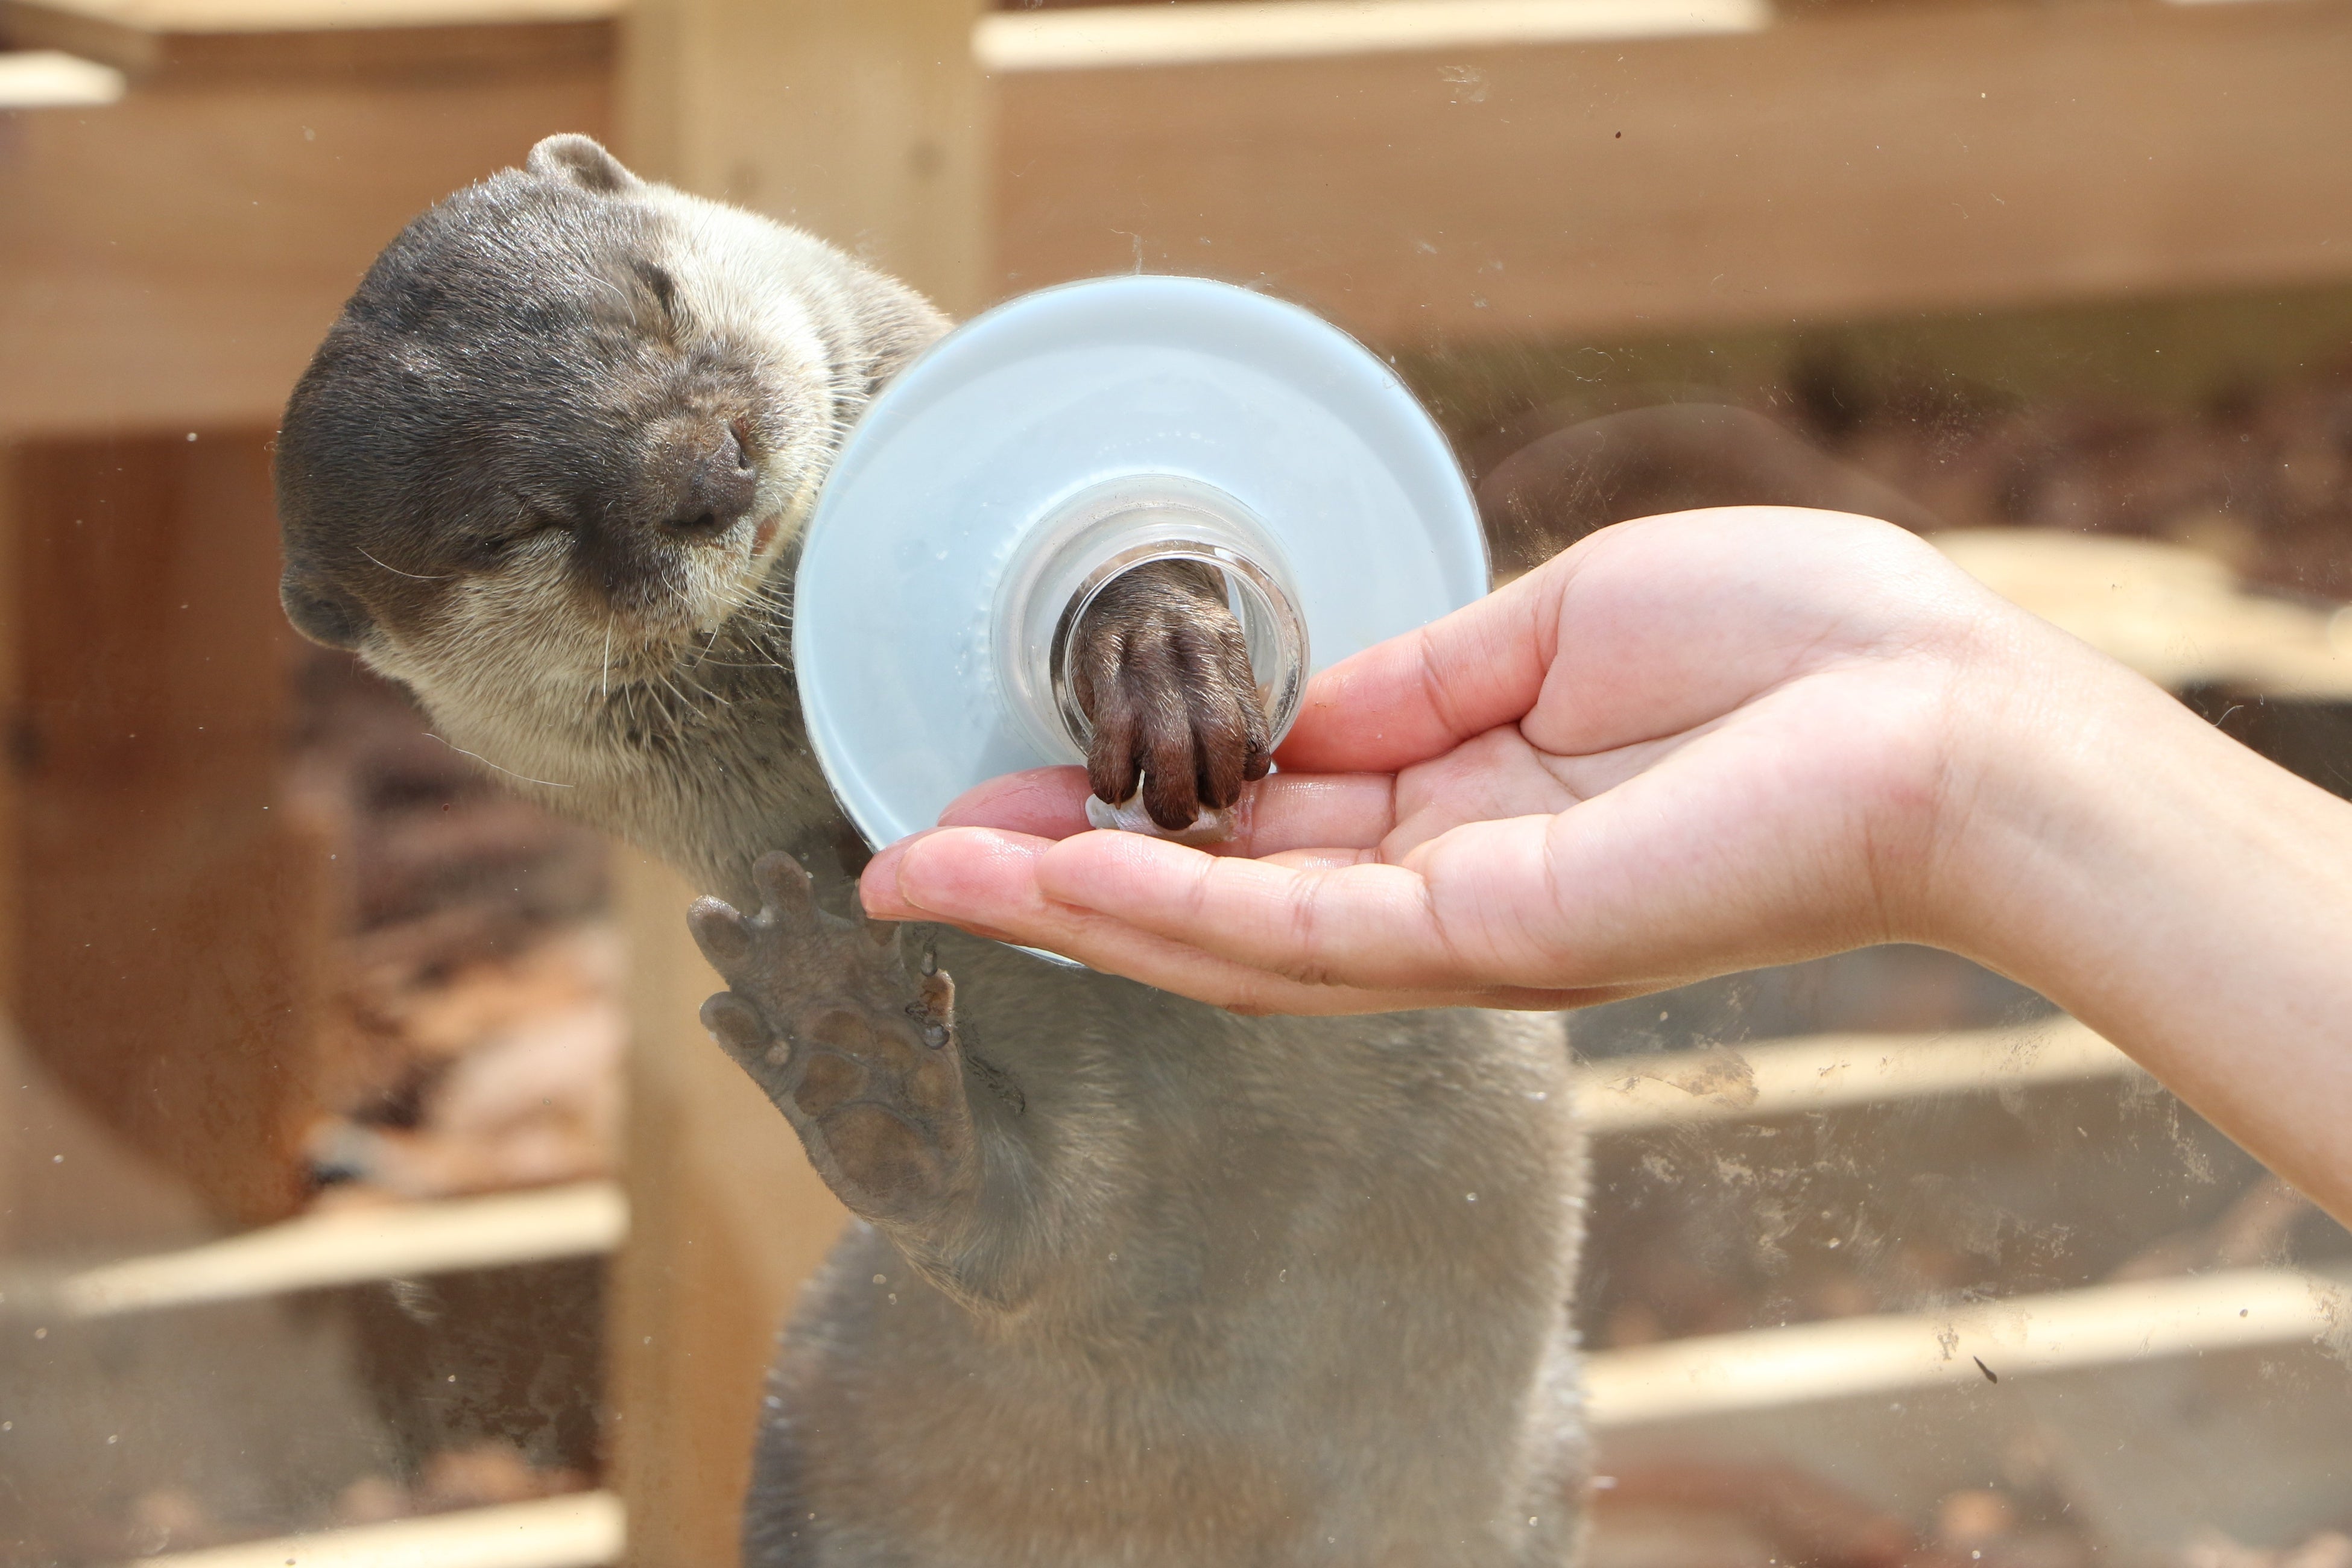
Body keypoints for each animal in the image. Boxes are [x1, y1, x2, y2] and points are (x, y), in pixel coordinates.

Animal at [280, 138, 1599, 1568]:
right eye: (510, 526)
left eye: (658, 297)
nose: (705, 471)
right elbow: (1023, 1241)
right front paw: (845, 1036)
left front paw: (1161, 647)